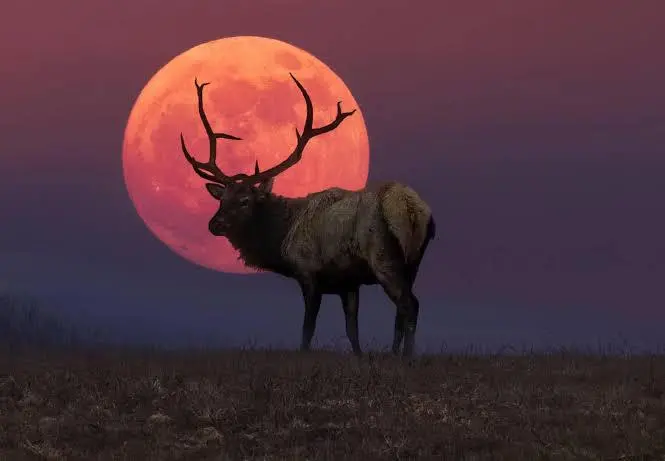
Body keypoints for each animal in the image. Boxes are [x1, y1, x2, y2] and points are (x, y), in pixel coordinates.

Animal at [179, 73, 436, 357]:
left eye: (245, 201)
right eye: (221, 199)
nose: (214, 224)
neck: (281, 239)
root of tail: (411, 209)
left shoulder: (308, 271)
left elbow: (308, 328)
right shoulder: (348, 283)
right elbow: (352, 330)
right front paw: (359, 358)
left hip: (383, 257)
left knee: (410, 304)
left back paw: (405, 357)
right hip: (414, 262)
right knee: (403, 309)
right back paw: (395, 353)